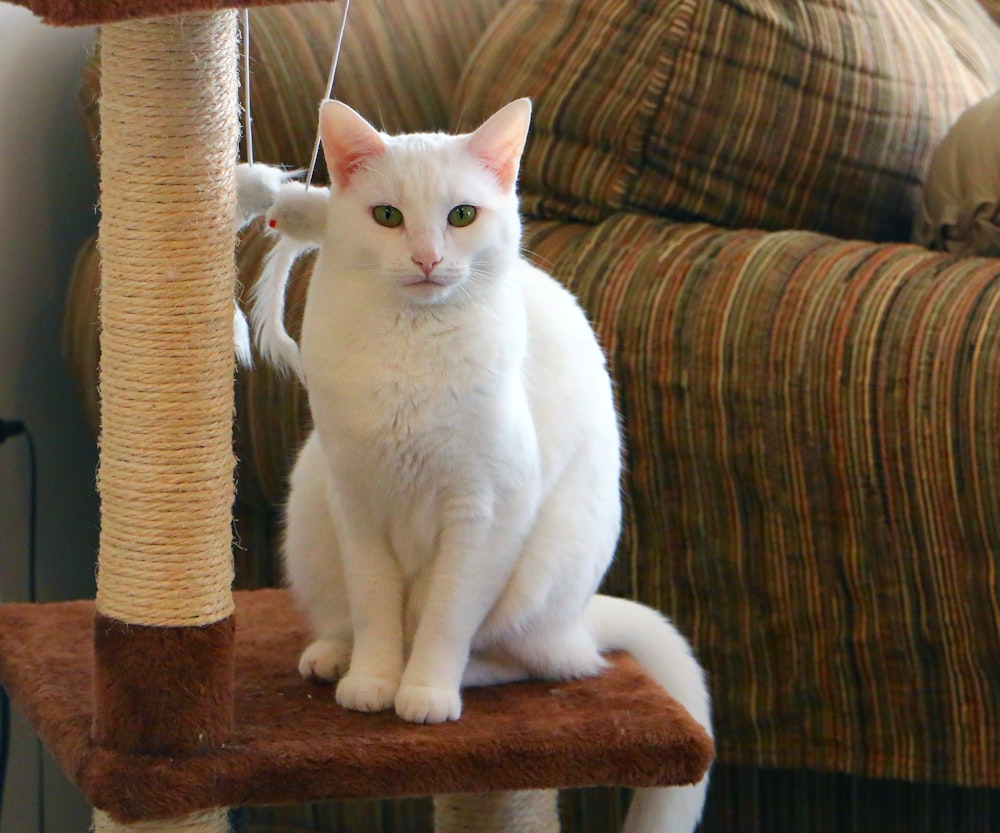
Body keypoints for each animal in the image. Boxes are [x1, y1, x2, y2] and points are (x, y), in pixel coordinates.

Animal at [258, 99, 712, 832]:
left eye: (462, 215)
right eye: (388, 216)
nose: (428, 257)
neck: (410, 350)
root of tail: (578, 621)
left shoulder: (485, 511)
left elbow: (446, 616)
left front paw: (422, 689)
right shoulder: (358, 503)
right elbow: (376, 607)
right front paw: (374, 680)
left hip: (537, 572)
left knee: (532, 662)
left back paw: (458, 674)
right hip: (311, 505)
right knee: (350, 618)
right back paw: (336, 656)